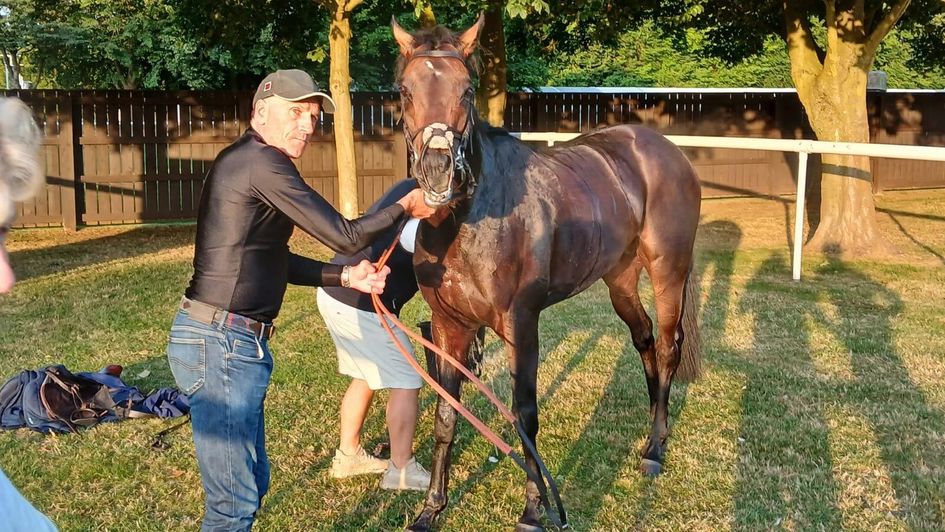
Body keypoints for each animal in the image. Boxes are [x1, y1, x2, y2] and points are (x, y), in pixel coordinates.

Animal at [390, 14, 700, 528]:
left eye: (467, 90)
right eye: (404, 90)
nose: (438, 173)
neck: (471, 218)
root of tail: (664, 149)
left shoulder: (521, 325)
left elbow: (524, 415)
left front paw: (534, 509)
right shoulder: (450, 327)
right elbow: (447, 414)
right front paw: (431, 507)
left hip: (668, 273)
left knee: (669, 346)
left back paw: (655, 447)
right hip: (620, 281)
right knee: (645, 340)